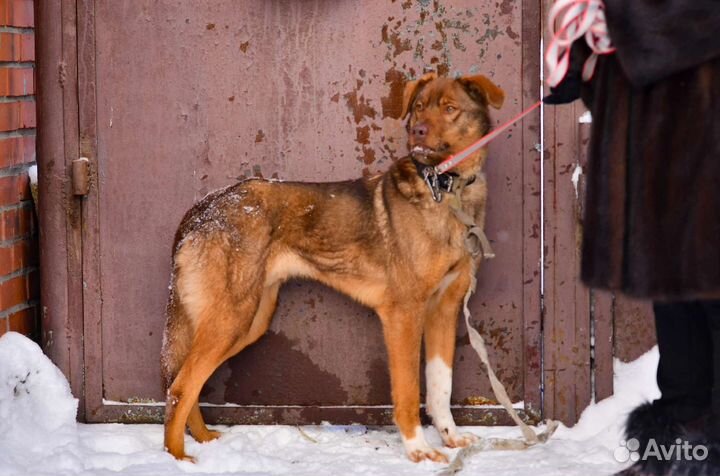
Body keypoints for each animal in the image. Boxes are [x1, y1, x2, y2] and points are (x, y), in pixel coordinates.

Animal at [160, 72, 504, 462]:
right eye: (418, 106)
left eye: (449, 108)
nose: (417, 131)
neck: (446, 187)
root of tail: (204, 206)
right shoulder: (404, 314)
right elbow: (407, 391)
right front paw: (418, 449)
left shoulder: (444, 310)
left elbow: (440, 387)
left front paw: (451, 437)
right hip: (231, 316)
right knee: (181, 386)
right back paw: (177, 458)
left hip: (249, 320)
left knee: (189, 383)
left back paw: (203, 441)